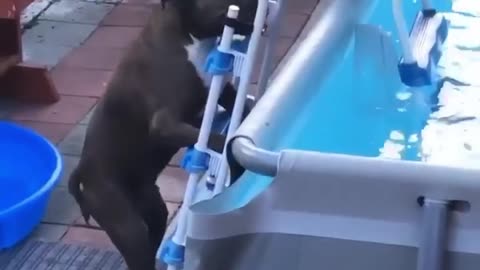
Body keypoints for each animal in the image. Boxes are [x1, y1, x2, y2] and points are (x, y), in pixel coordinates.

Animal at [67, 1, 256, 268]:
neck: (189, 37)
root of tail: (81, 170)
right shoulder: (165, 124)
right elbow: (214, 138)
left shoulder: (219, 91)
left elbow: (240, 109)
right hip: (126, 224)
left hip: (153, 207)